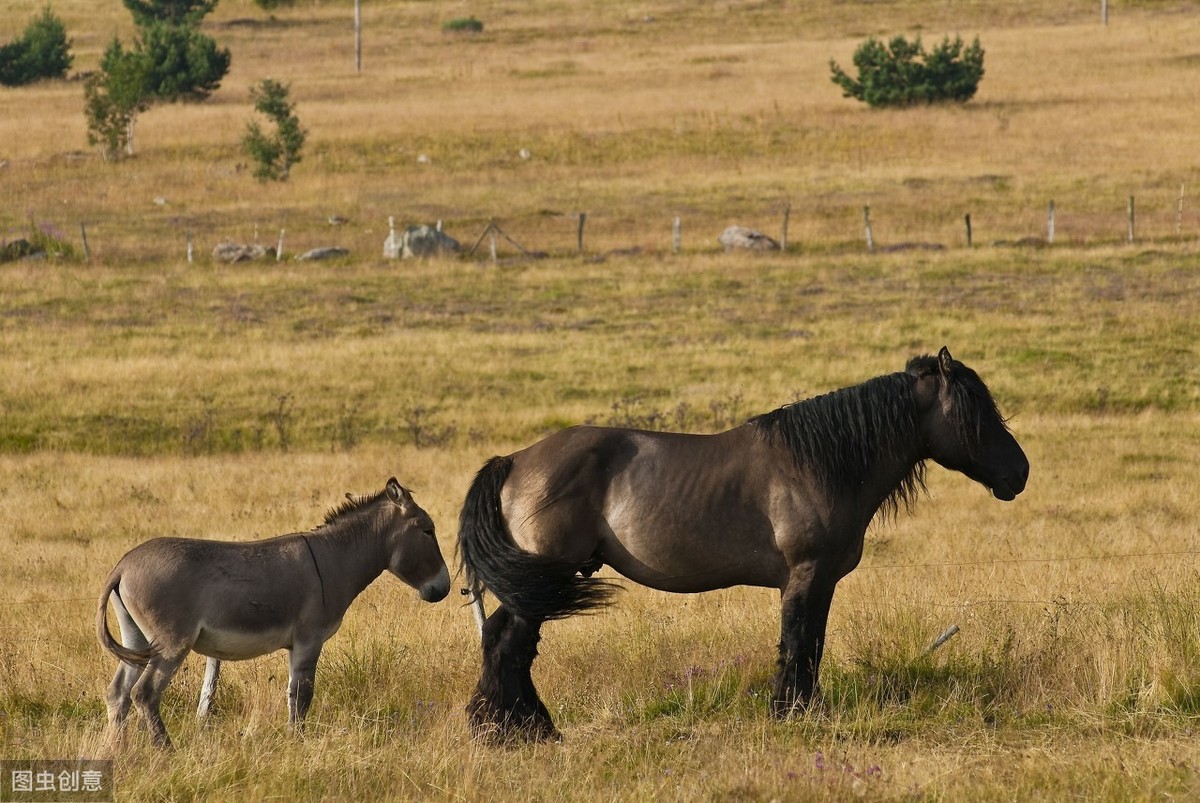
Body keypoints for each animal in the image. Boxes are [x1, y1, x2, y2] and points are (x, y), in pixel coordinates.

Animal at [453, 345, 1027, 739]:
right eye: (975, 412)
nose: (1019, 473)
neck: (817, 465)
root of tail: (514, 461)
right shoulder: (806, 575)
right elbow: (798, 644)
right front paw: (790, 713)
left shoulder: (820, 582)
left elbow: (811, 644)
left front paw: (801, 710)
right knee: (509, 644)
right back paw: (518, 731)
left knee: (504, 642)